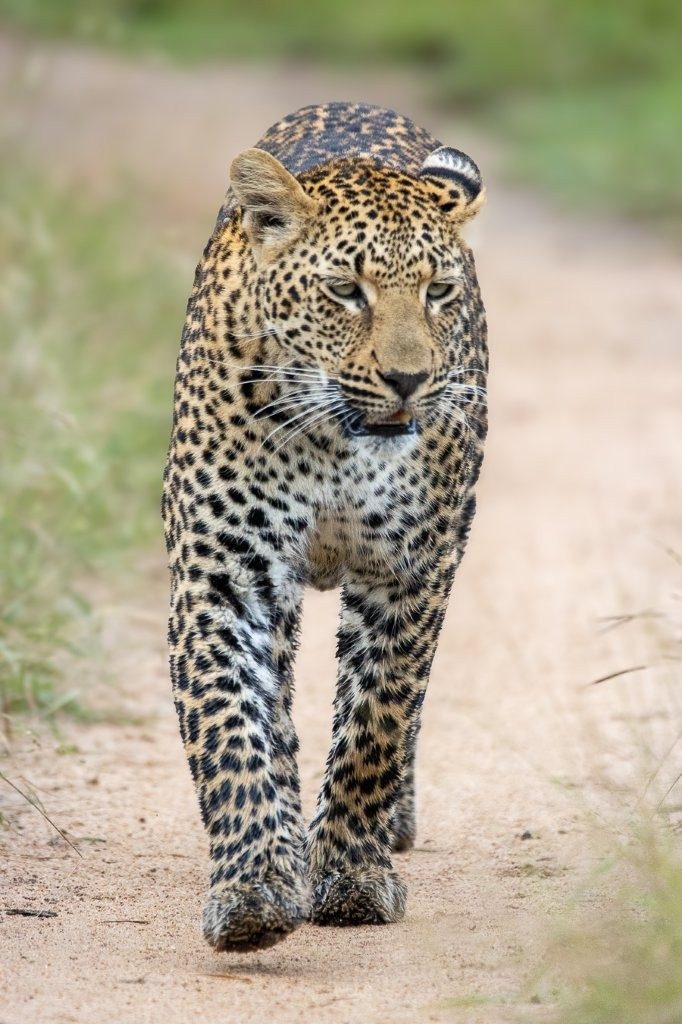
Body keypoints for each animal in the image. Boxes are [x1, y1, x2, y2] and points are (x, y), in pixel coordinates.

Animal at [162, 101, 488, 953]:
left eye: (439, 292)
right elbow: (232, 725)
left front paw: (351, 876)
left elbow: (378, 722)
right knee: (276, 708)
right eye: (345, 290)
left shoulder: (411, 572)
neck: (333, 443)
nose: (409, 379)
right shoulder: (223, 574)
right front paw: (251, 887)